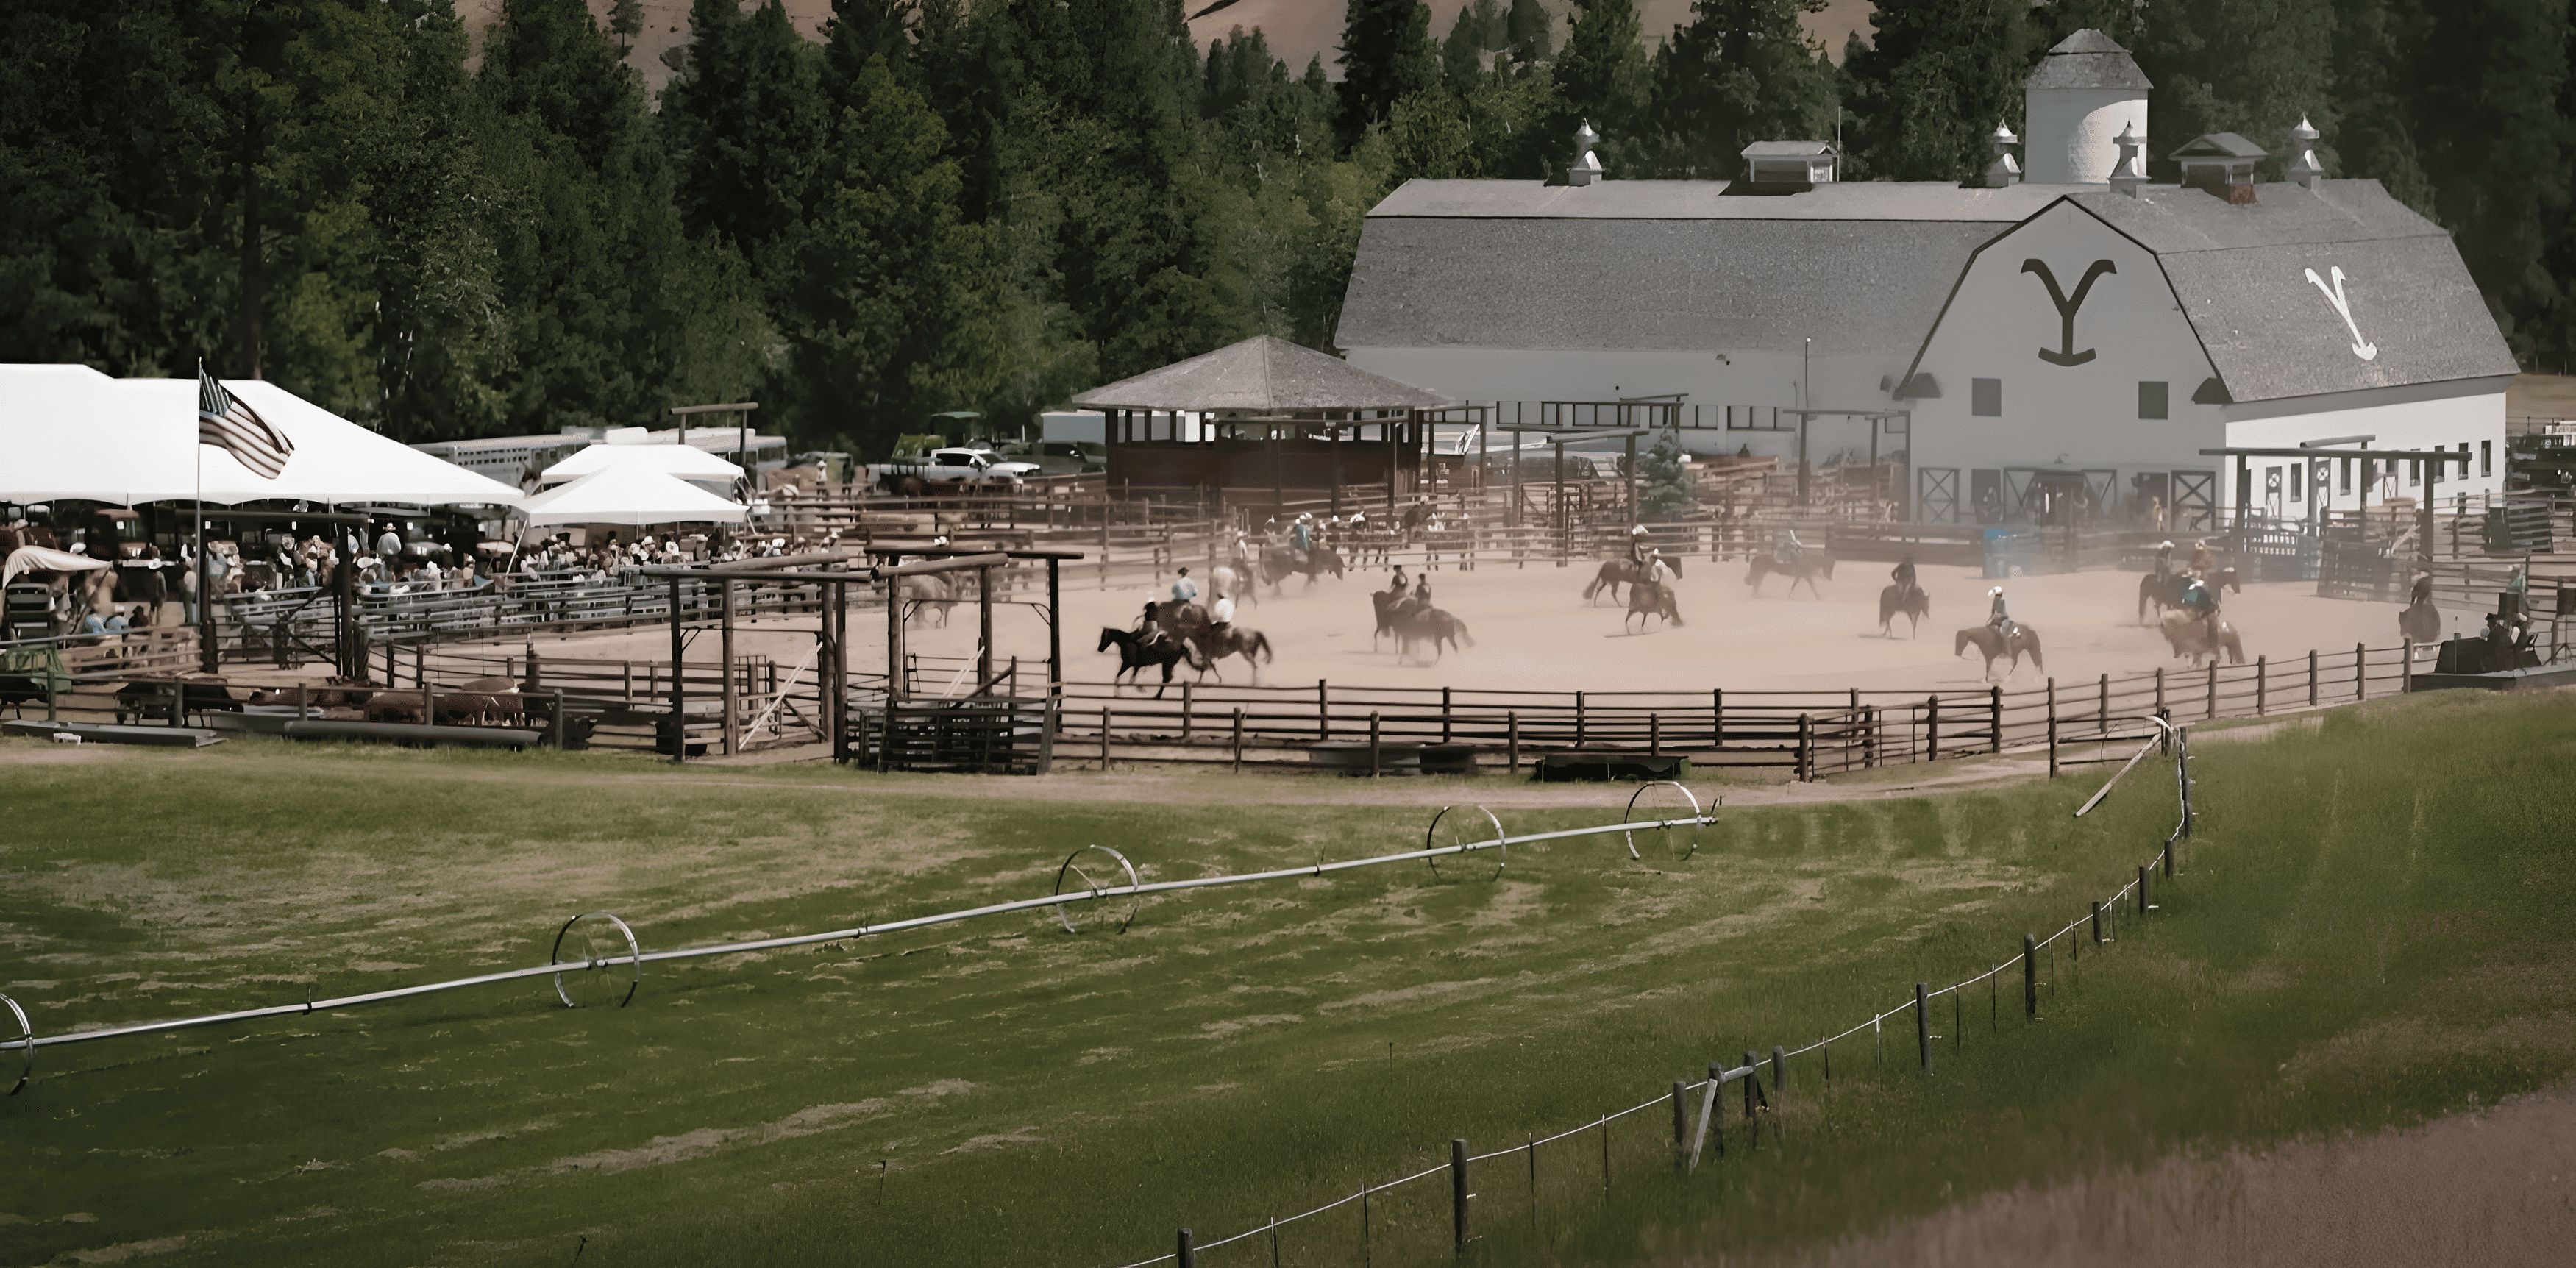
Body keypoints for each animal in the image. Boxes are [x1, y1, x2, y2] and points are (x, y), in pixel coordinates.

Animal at [1097, 621, 1195, 696]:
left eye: (1104, 637)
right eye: (1101, 636)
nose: (1100, 649)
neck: (1126, 641)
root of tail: (1181, 645)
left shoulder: (1129, 664)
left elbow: (1129, 680)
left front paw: (1140, 688)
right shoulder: (1132, 665)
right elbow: (1121, 677)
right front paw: (1117, 693)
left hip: (1167, 664)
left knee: (1166, 679)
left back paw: (1157, 696)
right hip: (1167, 665)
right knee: (1167, 679)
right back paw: (1157, 695)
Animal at [1576, 556, 1679, 605]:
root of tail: (1603, 567)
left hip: (1607, 581)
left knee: (1598, 590)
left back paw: (1595, 603)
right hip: (1614, 582)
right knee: (1612, 593)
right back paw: (1619, 604)